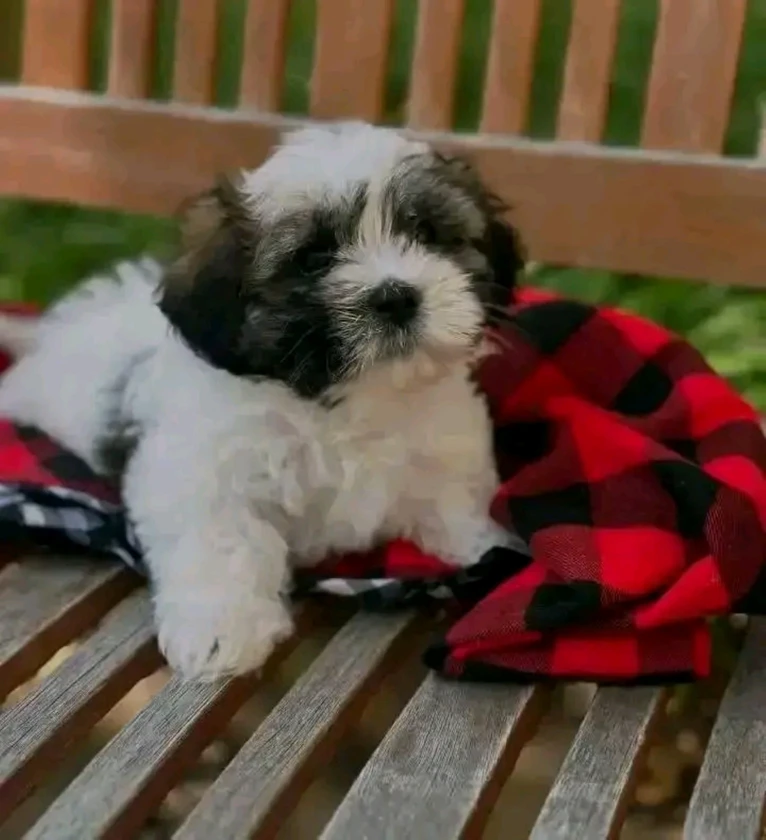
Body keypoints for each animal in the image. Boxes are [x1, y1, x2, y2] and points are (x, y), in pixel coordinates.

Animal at [0, 122, 526, 680]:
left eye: (427, 233)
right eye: (314, 258)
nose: (396, 295)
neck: (345, 403)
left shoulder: (444, 460)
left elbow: (455, 506)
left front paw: (495, 546)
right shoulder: (200, 473)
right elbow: (223, 540)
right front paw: (221, 630)